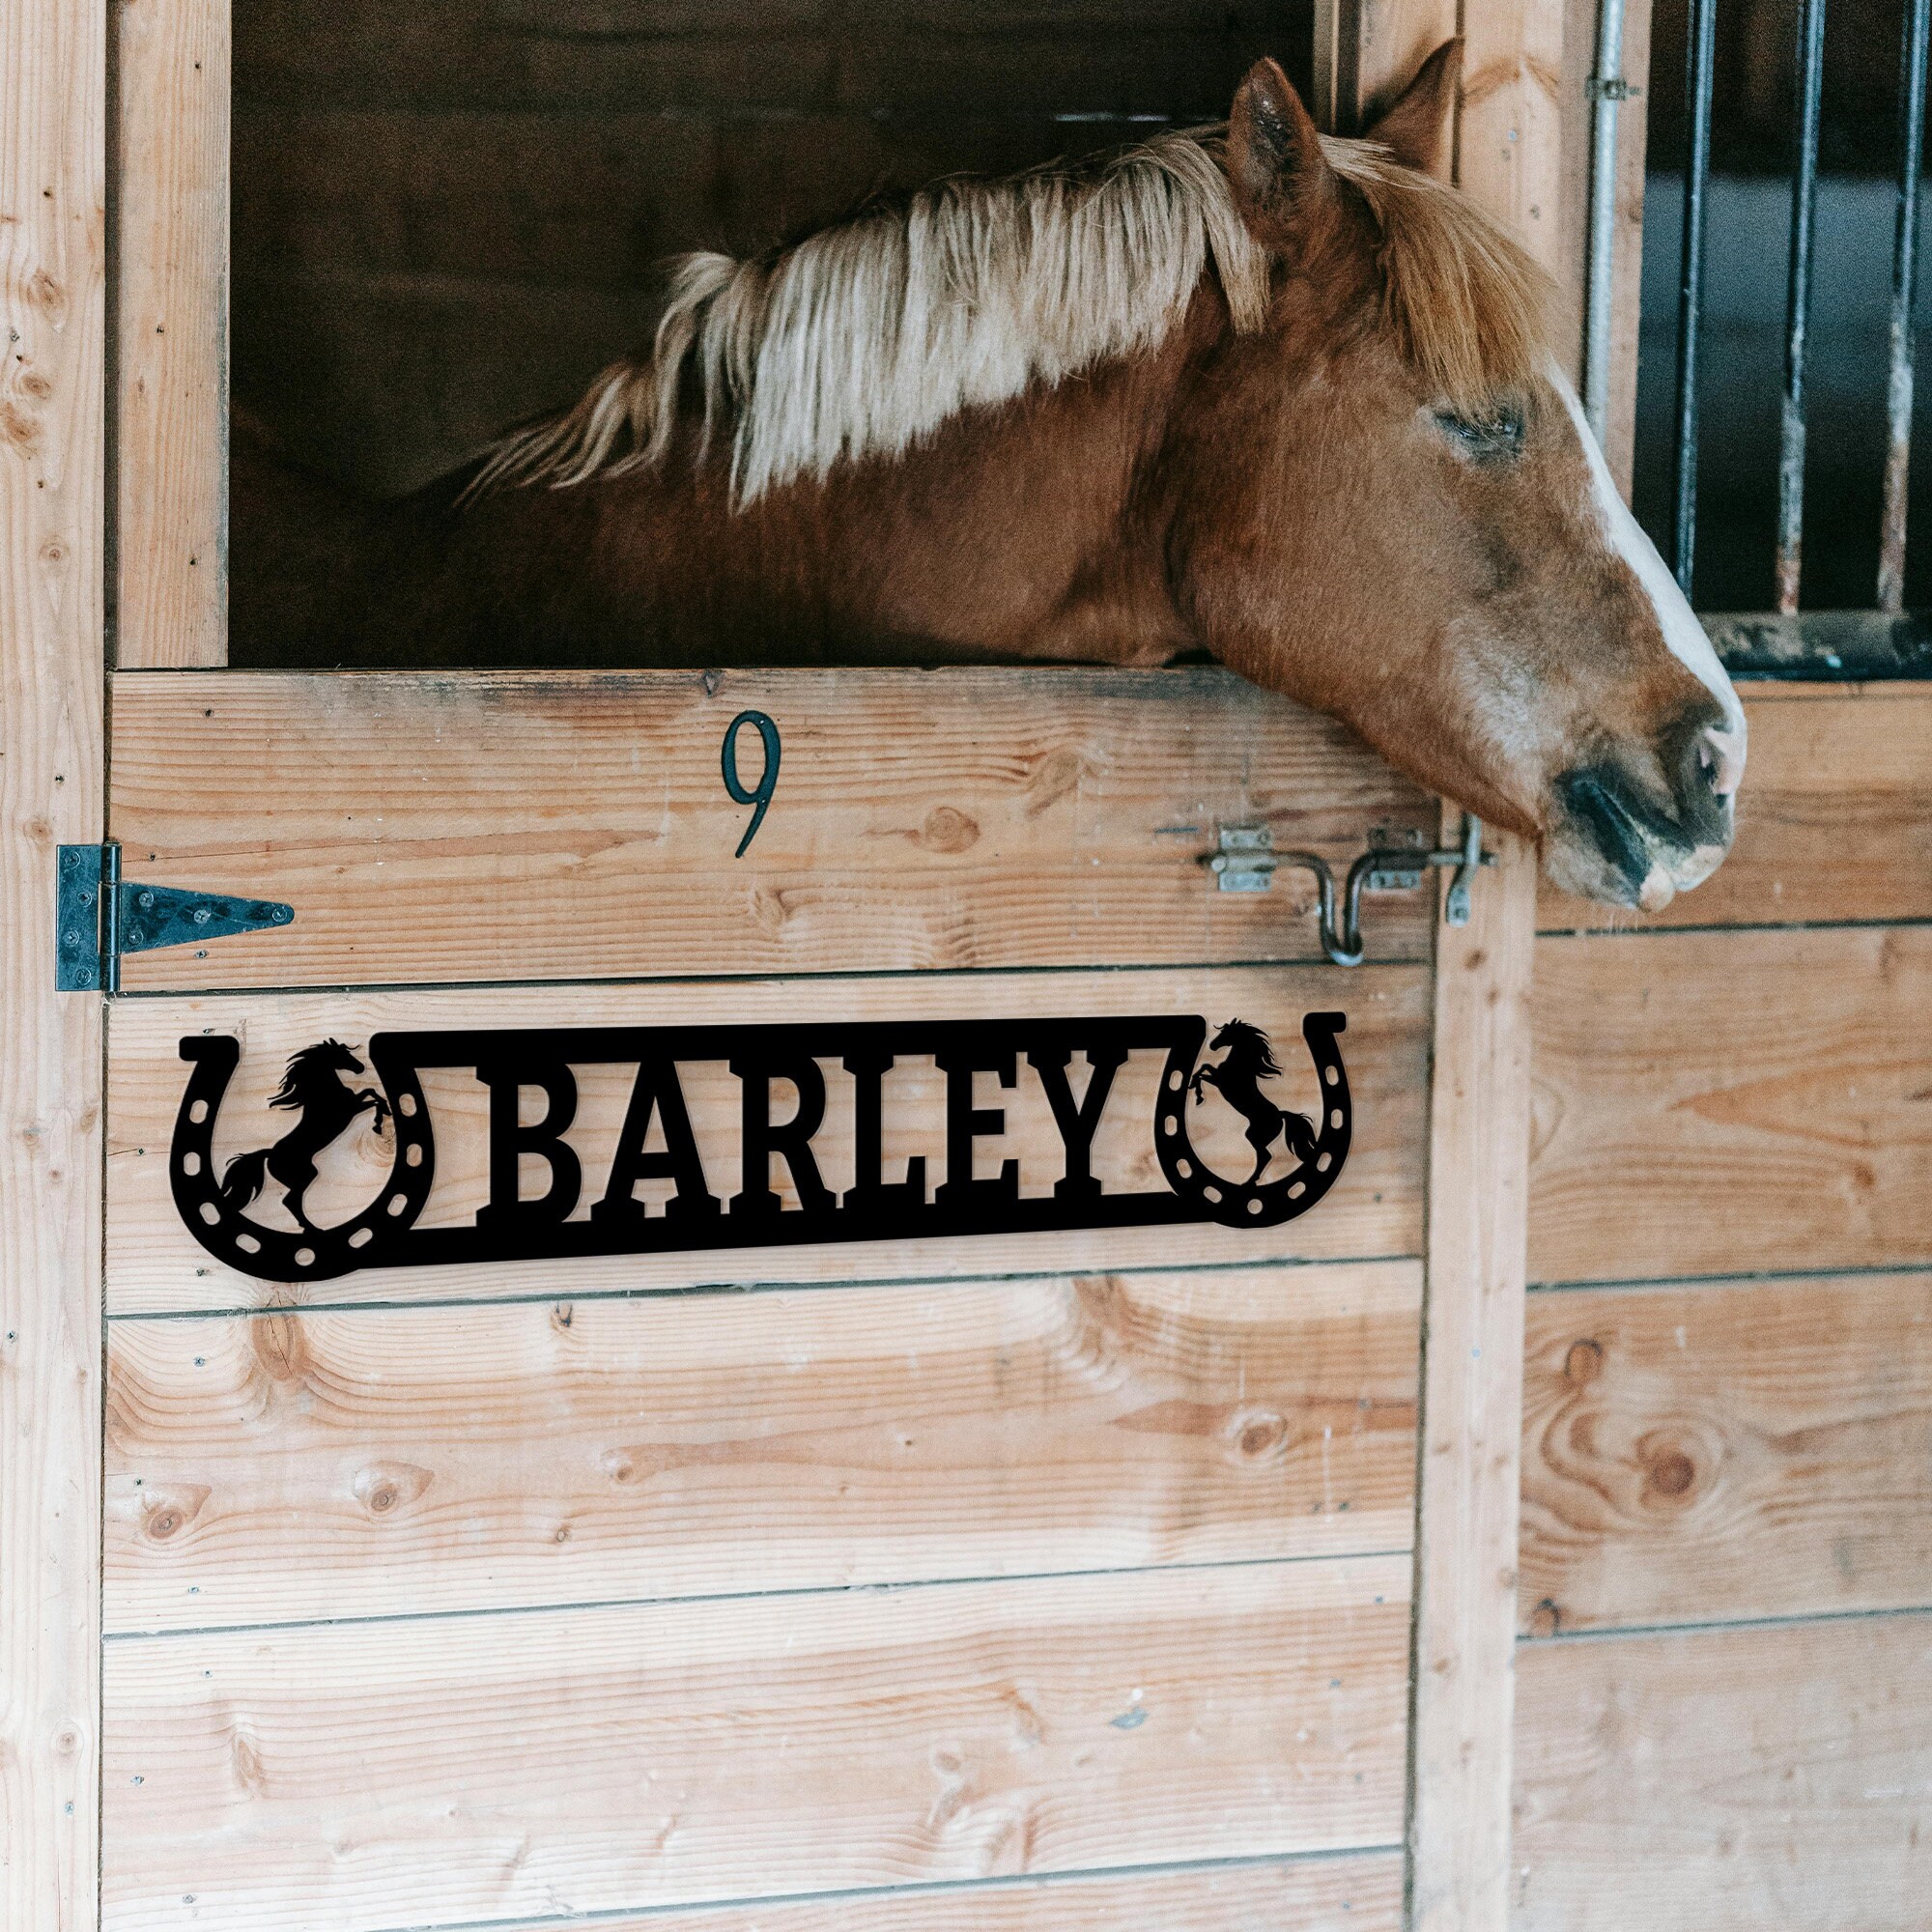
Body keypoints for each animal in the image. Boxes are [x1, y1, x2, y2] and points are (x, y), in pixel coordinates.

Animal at [218, 1041, 391, 1233]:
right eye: (342, 1054)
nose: (361, 1068)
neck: (323, 1093)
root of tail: (269, 1154)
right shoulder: (352, 1109)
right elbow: (374, 1099)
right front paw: (378, 1123)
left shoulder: (355, 1102)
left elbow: (371, 1091)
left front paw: (382, 1116)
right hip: (304, 1175)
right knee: (290, 1201)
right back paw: (312, 1228)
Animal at [1190, 1019, 1319, 1184]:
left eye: (1227, 1032)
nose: (1212, 1045)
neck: (1241, 1065)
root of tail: (1280, 1115)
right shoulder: (1217, 1077)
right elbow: (1204, 1067)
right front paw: (1196, 1091)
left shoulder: (1219, 1082)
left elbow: (1202, 1072)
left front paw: (1198, 1095)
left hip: (1254, 1136)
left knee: (1265, 1156)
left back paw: (1250, 1181)